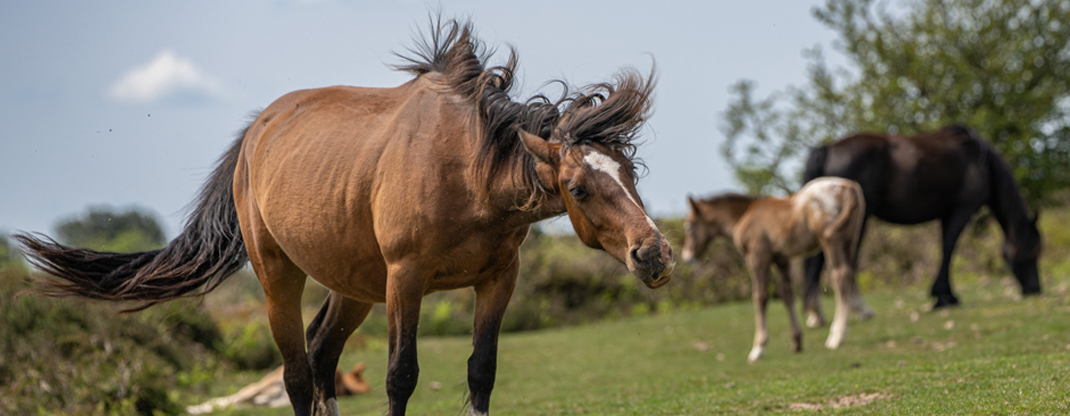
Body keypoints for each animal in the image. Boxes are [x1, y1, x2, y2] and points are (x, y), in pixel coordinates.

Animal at [15, 19, 674, 416]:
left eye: (631, 173)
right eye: (578, 187)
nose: (655, 253)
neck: (469, 168)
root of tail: (256, 134)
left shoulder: (497, 280)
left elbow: (480, 370)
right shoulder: (406, 279)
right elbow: (400, 375)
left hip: (354, 287)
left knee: (323, 356)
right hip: (280, 276)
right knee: (297, 372)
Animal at [681, 177, 873, 362]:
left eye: (689, 226)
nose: (686, 256)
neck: (745, 215)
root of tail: (849, 188)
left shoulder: (758, 258)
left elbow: (760, 298)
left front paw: (758, 349)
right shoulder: (782, 260)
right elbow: (787, 295)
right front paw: (796, 342)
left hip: (831, 241)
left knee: (840, 276)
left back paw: (837, 336)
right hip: (850, 240)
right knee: (850, 272)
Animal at [801, 124, 1041, 320]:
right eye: (1032, 253)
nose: (1036, 289)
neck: (982, 164)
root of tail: (827, 150)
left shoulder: (946, 214)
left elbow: (946, 249)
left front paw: (947, 295)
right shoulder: (961, 210)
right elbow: (948, 249)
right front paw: (942, 297)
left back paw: (816, 313)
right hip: (856, 219)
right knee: (844, 259)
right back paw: (858, 309)